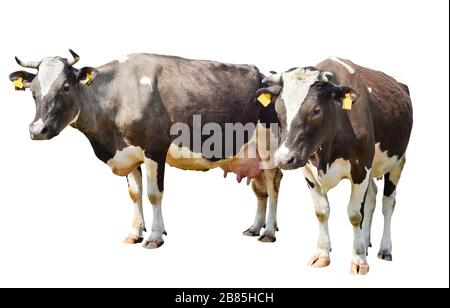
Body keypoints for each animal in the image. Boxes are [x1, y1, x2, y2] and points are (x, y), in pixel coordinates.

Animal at [8, 50, 284, 248]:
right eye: (33, 92)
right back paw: (254, 228)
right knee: (261, 190)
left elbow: (153, 194)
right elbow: (134, 194)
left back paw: (269, 232)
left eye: (65, 87)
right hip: (252, 154)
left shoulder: (155, 148)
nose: (37, 130)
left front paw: (154, 236)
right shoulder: (129, 154)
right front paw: (134, 233)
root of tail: (269, 77)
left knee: (272, 186)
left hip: (269, 148)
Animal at [262, 57, 414, 274]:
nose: (284, 158)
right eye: (277, 110)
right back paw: (365, 242)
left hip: (398, 162)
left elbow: (355, 214)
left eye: (316, 110)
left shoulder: (361, 168)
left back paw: (385, 249)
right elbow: (322, 212)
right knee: (372, 198)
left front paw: (358, 260)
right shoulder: (309, 171)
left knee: (388, 203)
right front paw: (323, 254)